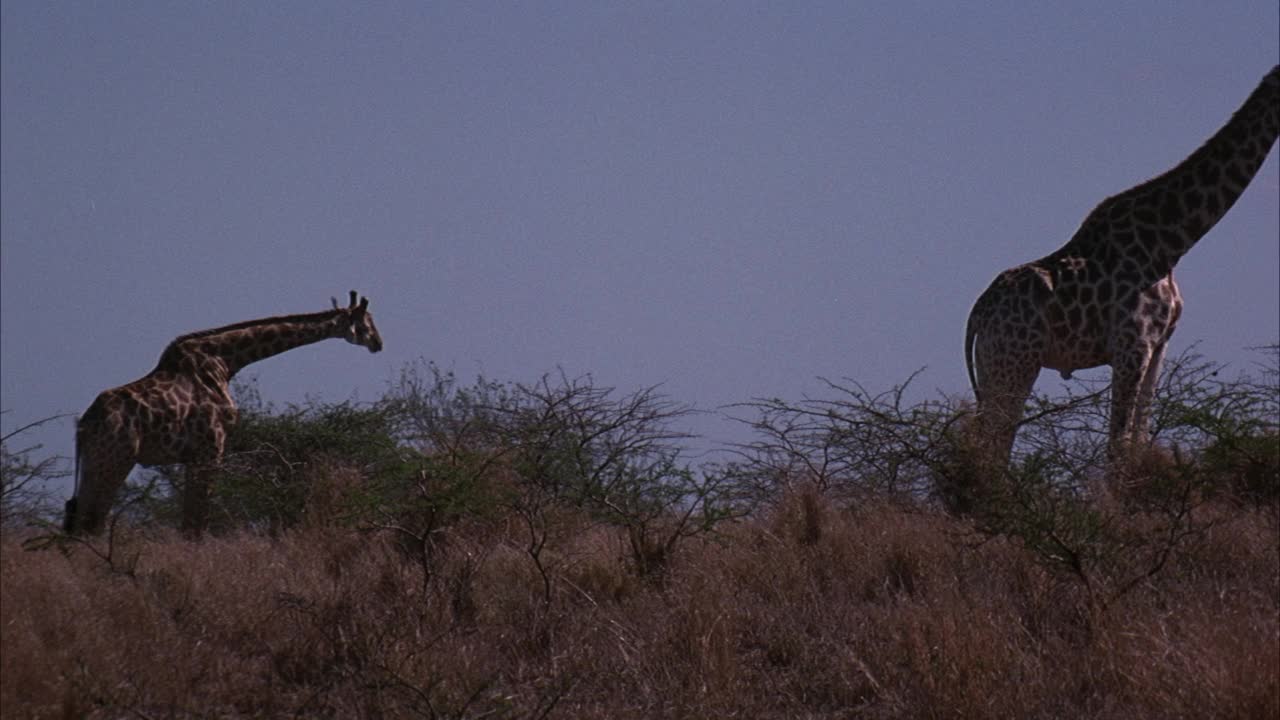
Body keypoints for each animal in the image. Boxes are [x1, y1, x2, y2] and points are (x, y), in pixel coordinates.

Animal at [64, 289, 381, 532]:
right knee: (92, 518)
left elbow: (191, 517)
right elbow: (197, 519)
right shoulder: (211, 448)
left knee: (78, 515)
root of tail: (84, 424)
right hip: (117, 459)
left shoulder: (196, 455)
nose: (379, 343)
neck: (226, 361)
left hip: (96, 460)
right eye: (367, 322)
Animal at [962, 65, 1274, 471]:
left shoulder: (1159, 347)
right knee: (994, 448)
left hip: (992, 365)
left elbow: (1138, 442)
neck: (1171, 242)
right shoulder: (1131, 347)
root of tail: (977, 314)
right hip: (1015, 362)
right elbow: (1118, 448)